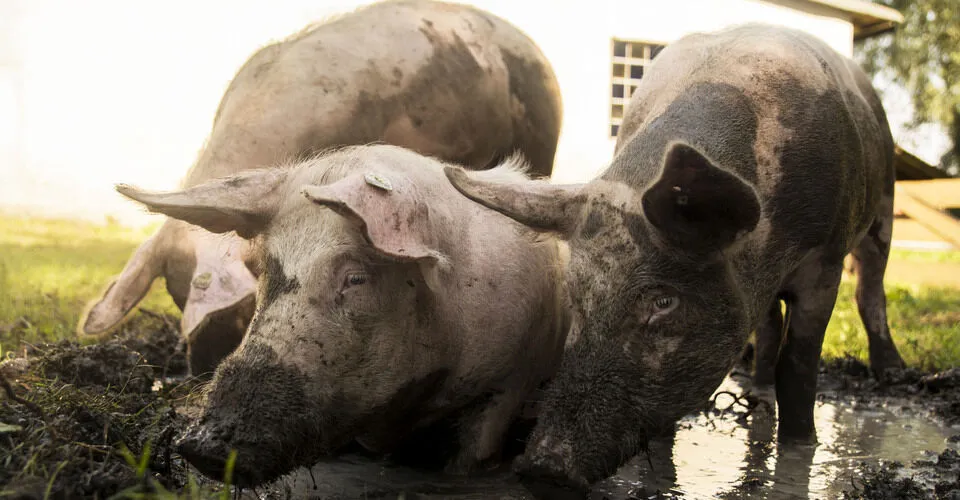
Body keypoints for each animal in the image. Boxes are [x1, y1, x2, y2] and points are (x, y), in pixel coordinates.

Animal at [442, 22, 908, 496]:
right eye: (576, 295)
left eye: (663, 301)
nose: (543, 468)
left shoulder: (824, 260)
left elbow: (799, 366)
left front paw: (801, 447)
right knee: (769, 322)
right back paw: (758, 397)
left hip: (884, 201)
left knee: (871, 287)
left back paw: (891, 373)